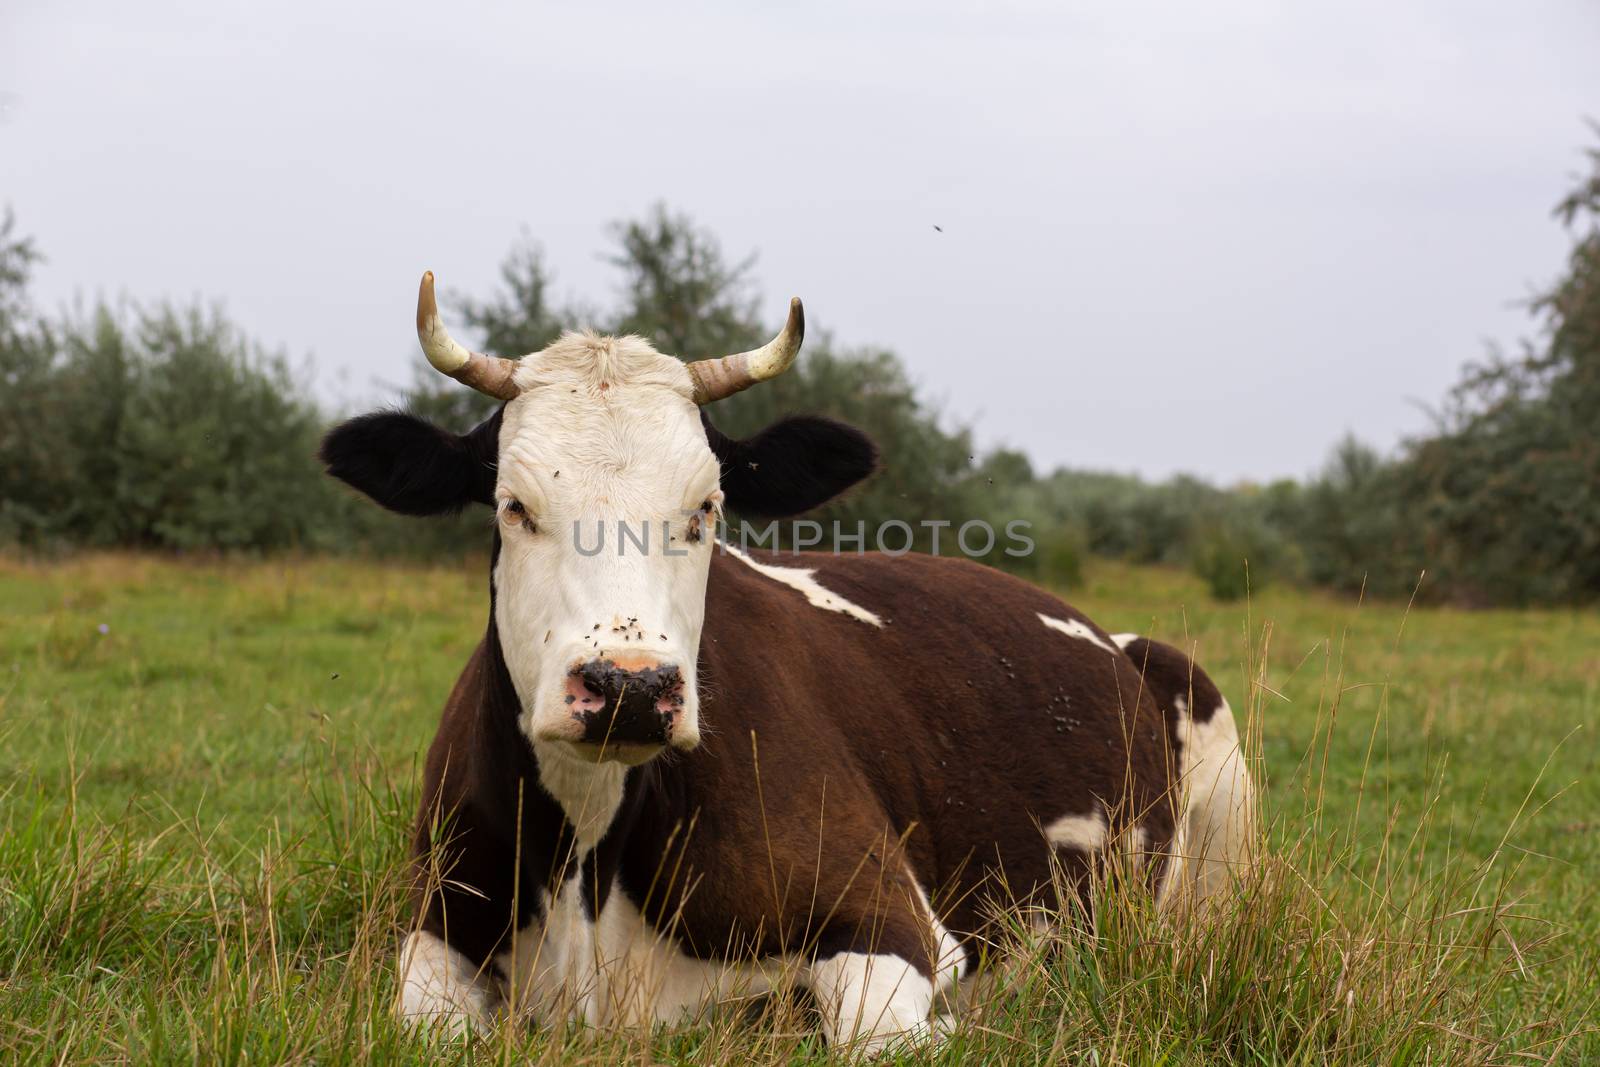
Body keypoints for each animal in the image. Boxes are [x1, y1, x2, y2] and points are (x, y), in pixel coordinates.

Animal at [318, 271, 1254, 1055]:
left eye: (706, 507)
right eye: (514, 505)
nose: (630, 686)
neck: (590, 847)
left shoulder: (892, 917)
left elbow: (882, 1036)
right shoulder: (436, 928)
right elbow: (423, 1024)